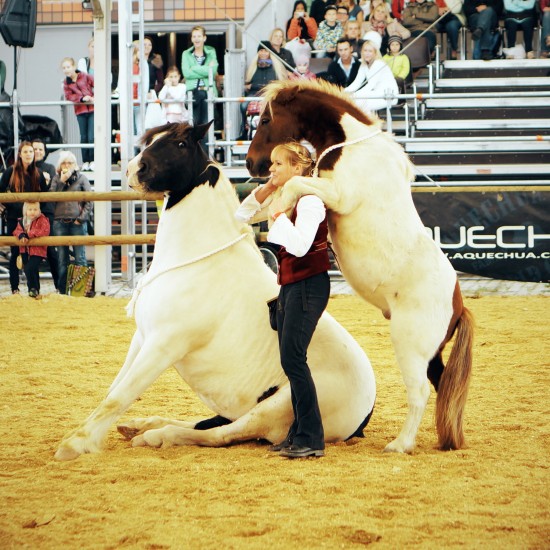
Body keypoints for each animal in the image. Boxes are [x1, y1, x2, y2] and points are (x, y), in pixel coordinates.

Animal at [54, 124, 378, 462]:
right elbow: (114, 388)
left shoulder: (163, 345)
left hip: (274, 408)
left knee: (222, 434)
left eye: (180, 144)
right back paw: (141, 425)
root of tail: (365, 410)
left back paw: (156, 436)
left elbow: (120, 395)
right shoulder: (142, 338)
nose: (132, 170)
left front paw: (75, 444)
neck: (196, 259)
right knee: (209, 424)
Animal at [248, 78, 476, 458]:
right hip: (430, 355)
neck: (352, 147)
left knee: (420, 392)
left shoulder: (336, 194)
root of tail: (458, 306)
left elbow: (294, 184)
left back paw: (400, 444)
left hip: (409, 347)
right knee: (442, 387)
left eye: (265, 120)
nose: (251, 164)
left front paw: (281, 207)